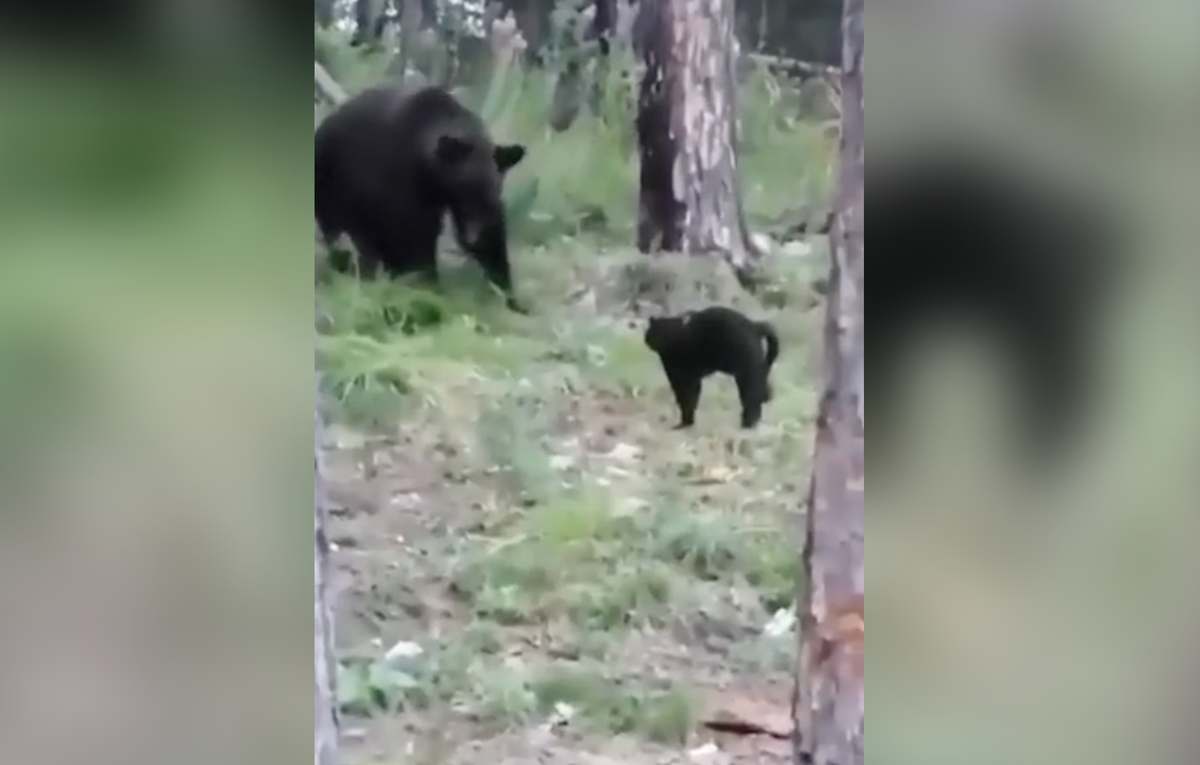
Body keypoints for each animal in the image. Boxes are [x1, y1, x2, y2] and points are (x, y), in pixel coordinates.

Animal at [316, 84, 528, 311]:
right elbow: (413, 236)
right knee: (347, 234)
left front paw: (511, 295)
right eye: (468, 186)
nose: (475, 237)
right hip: (333, 185)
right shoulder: (399, 183)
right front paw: (427, 287)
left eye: (494, 187)